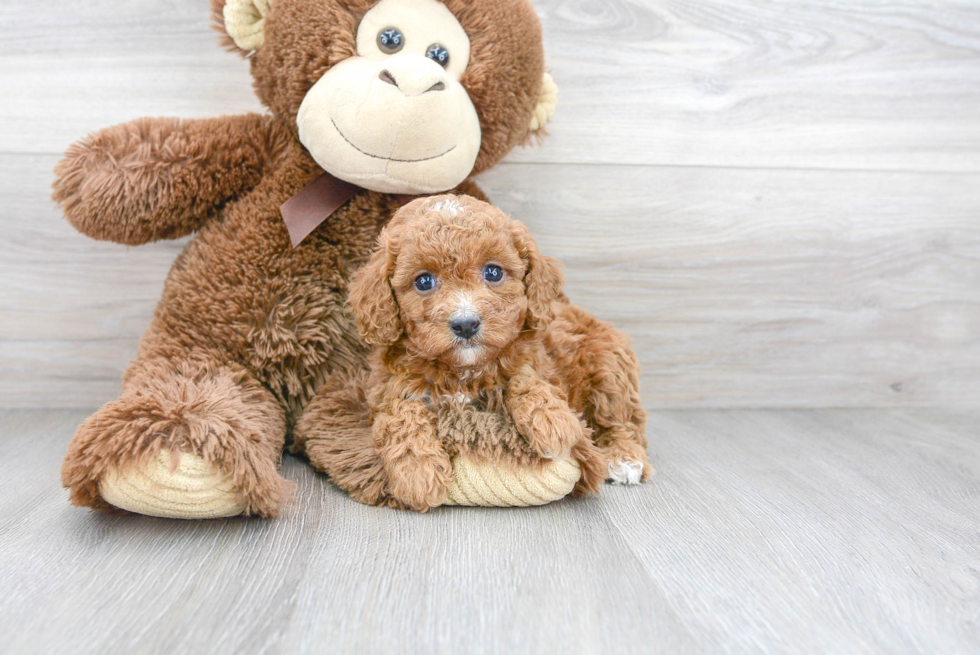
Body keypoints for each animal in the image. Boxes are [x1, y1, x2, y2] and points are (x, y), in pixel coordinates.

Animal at [346, 195, 652, 512]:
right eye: (423, 281)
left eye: (493, 272)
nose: (465, 324)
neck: (463, 371)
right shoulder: (388, 389)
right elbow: (401, 415)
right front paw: (418, 474)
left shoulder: (534, 359)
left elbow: (524, 378)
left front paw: (553, 422)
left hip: (608, 366)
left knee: (623, 421)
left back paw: (624, 458)